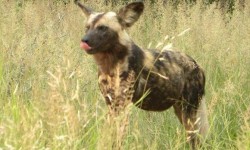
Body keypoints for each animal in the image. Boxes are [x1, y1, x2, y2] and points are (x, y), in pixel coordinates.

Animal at [74, 0, 209, 149]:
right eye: (87, 28)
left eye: (102, 28)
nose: (84, 40)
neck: (110, 64)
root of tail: (197, 65)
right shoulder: (111, 104)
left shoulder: (122, 105)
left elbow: (118, 138)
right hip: (180, 110)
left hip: (189, 113)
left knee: (196, 141)